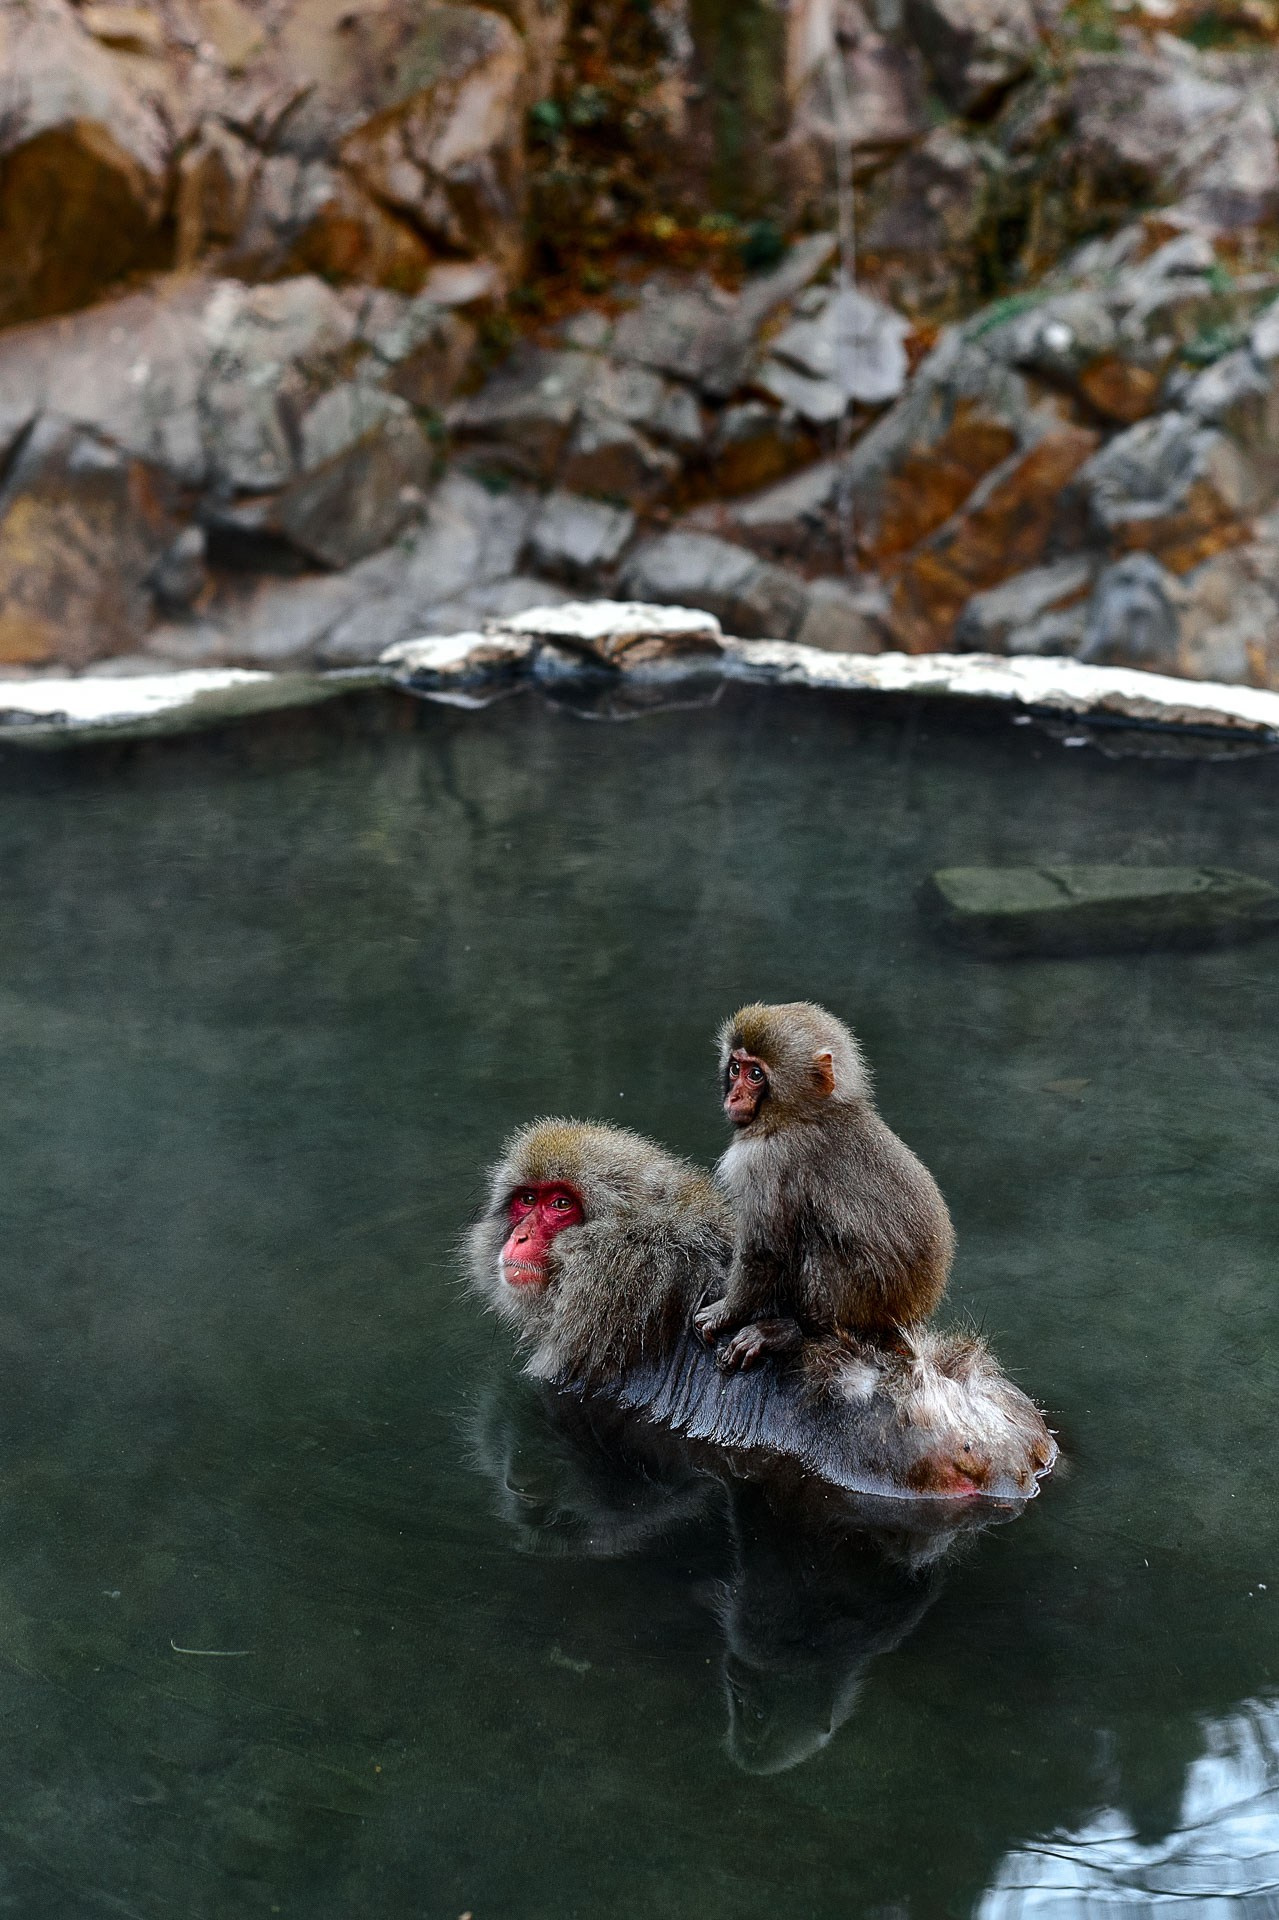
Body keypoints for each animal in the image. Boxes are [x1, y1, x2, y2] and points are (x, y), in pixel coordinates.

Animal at [693, 1001, 955, 1371]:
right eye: (734, 1068)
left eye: (755, 1075)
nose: (735, 1097)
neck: (804, 1113)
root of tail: (907, 1318)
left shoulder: (765, 1159)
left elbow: (763, 1250)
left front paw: (726, 1314)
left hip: (863, 1302)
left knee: (815, 1243)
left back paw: (794, 1332)